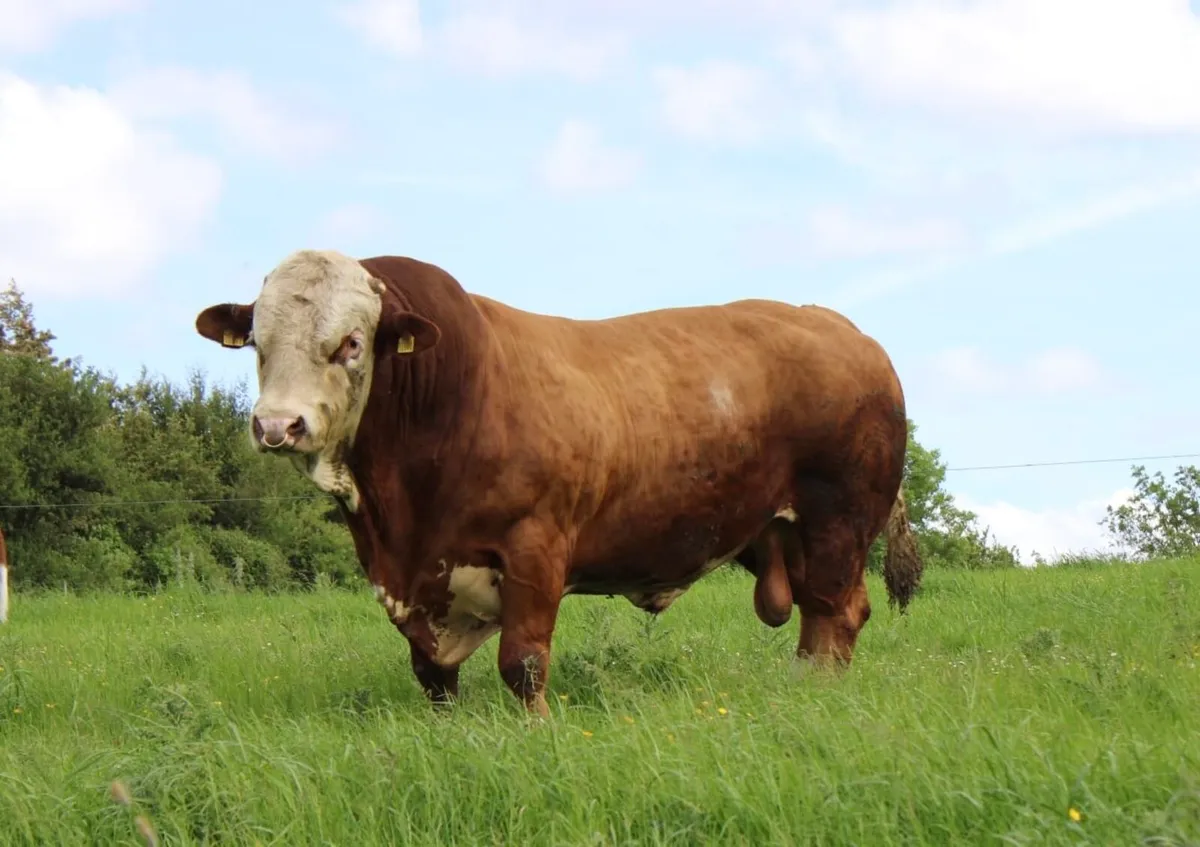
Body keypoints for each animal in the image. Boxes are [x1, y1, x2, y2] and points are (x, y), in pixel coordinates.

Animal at [195, 249, 923, 717]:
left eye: (350, 342)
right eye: (257, 341)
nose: (277, 424)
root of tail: (847, 330)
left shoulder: (535, 546)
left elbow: (522, 662)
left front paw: (539, 731)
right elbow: (432, 672)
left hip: (839, 522)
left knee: (834, 614)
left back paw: (817, 696)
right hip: (787, 532)